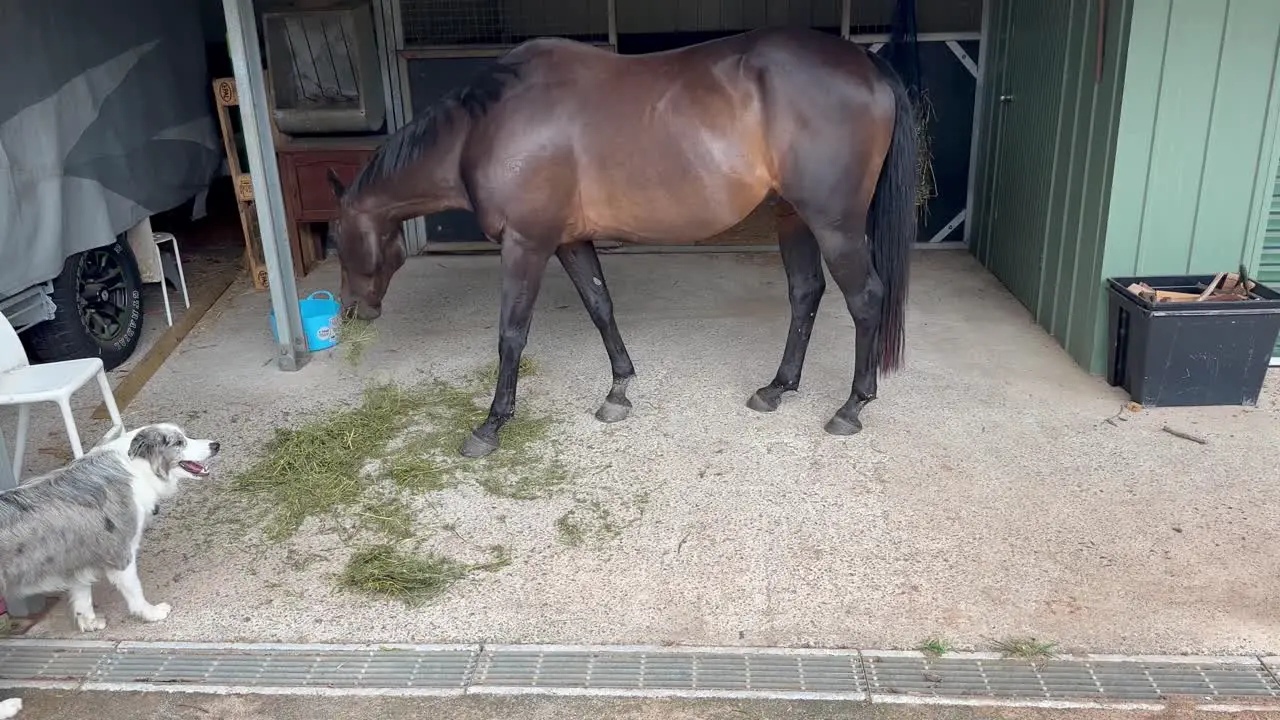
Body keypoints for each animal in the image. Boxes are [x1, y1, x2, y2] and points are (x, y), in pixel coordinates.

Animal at [0, 420, 218, 632]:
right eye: (179, 442)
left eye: (185, 436)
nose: (216, 445)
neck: (137, 468)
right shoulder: (121, 553)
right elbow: (135, 590)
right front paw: (151, 613)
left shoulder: (76, 557)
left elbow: (82, 596)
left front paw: (90, 623)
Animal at [325, 26, 916, 458]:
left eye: (336, 239)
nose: (352, 311)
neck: (484, 127)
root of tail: (865, 63)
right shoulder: (568, 241)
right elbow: (600, 306)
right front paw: (618, 391)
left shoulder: (525, 244)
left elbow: (511, 334)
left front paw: (491, 425)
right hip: (793, 217)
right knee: (805, 293)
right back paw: (776, 388)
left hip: (834, 223)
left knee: (865, 299)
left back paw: (851, 407)